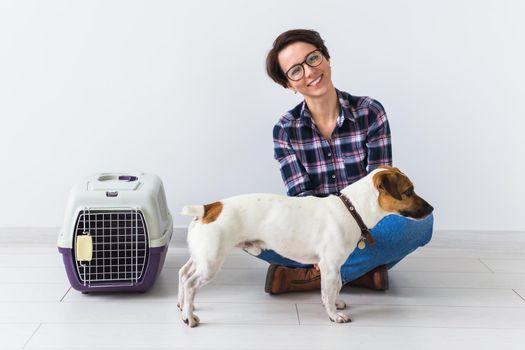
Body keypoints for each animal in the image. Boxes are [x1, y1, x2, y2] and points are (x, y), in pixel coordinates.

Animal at [178, 165, 432, 326]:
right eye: (409, 191)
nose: (432, 208)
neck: (351, 209)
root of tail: (209, 208)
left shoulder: (334, 267)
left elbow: (337, 286)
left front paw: (336, 303)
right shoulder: (329, 265)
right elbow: (328, 290)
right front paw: (333, 315)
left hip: (200, 257)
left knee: (183, 274)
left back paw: (183, 308)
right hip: (211, 262)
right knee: (191, 284)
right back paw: (190, 319)